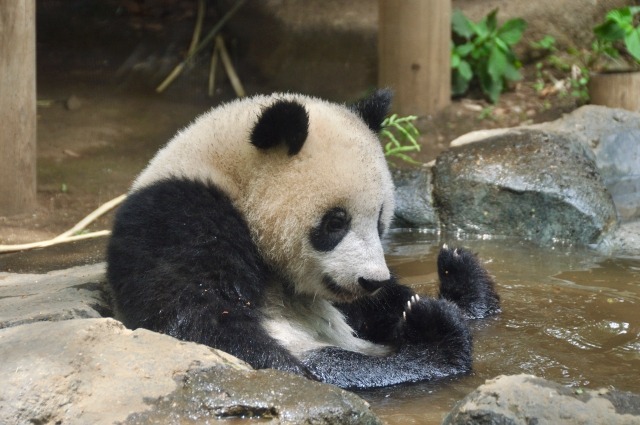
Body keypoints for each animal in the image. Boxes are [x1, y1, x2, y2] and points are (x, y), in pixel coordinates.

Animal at [107, 90, 500, 388]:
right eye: (336, 222)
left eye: (379, 221)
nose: (371, 280)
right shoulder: (177, 220)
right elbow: (199, 319)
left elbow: (380, 305)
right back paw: (435, 338)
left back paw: (459, 279)